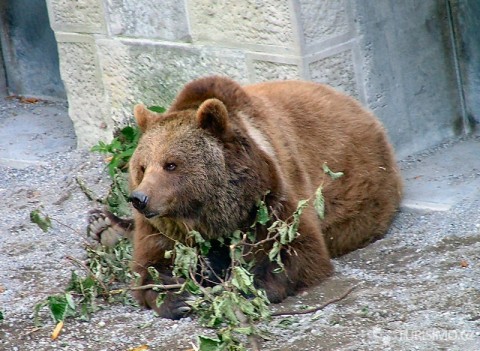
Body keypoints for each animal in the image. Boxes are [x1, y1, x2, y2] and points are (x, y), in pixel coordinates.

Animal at [89, 75, 402, 320]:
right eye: (142, 167)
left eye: (171, 164)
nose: (139, 198)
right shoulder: (164, 228)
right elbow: (149, 268)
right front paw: (179, 297)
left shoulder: (274, 198)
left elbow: (298, 251)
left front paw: (246, 286)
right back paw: (104, 225)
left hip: (364, 194)